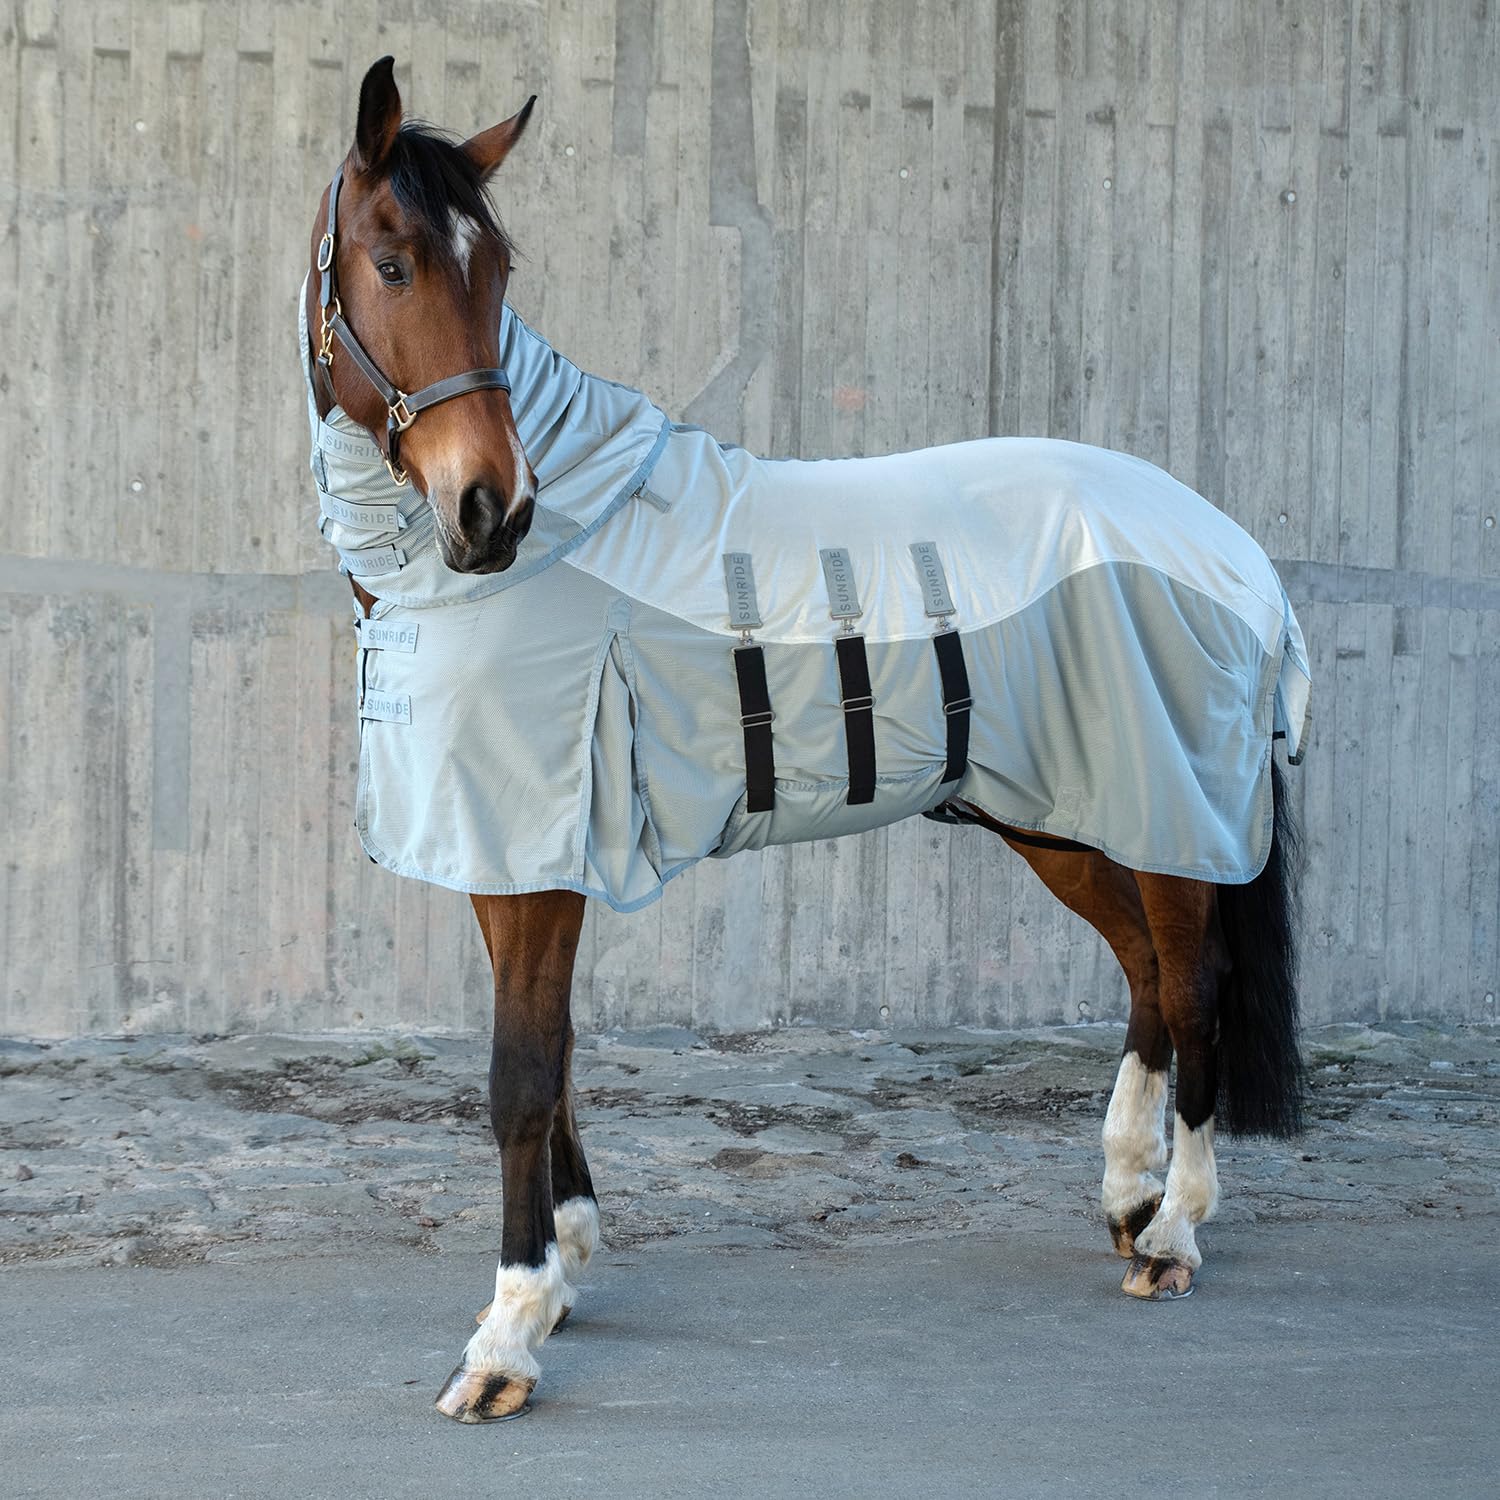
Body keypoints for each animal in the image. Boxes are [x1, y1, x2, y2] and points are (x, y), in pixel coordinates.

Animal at [302, 58, 1310, 1424]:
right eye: (395, 263)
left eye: (499, 270)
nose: (490, 509)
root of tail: (1227, 545)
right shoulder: (510, 855)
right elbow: (552, 1063)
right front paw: (562, 1270)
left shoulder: (537, 863)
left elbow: (520, 1073)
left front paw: (506, 1339)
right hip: (1063, 812)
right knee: (1150, 976)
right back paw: (1126, 1198)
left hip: (1164, 808)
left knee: (1193, 987)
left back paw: (1175, 1234)